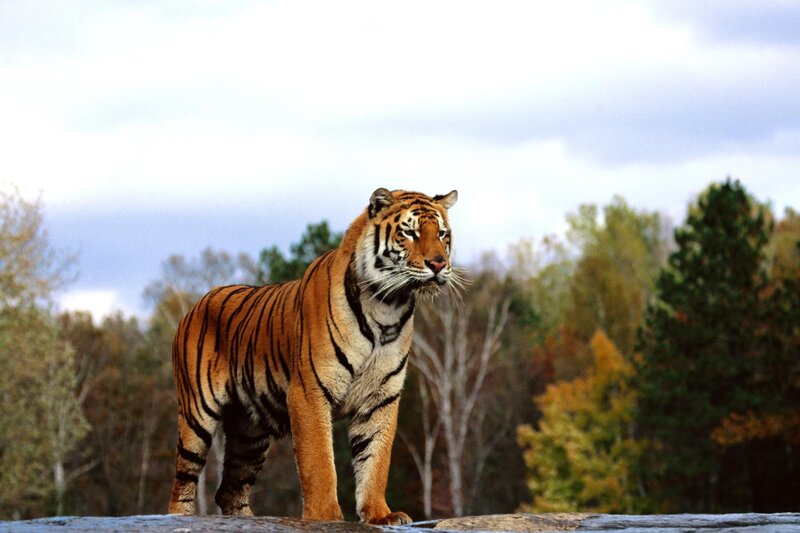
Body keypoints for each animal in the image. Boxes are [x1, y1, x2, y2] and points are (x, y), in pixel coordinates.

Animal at [167, 188, 459, 524]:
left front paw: (380, 514)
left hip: (249, 432)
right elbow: (319, 462)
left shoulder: (381, 398)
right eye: (409, 233)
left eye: (442, 234)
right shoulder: (309, 392)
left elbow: (376, 459)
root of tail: (196, 303)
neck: (387, 307)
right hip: (197, 415)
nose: (438, 264)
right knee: (182, 483)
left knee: (230, 489)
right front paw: (325, 516)